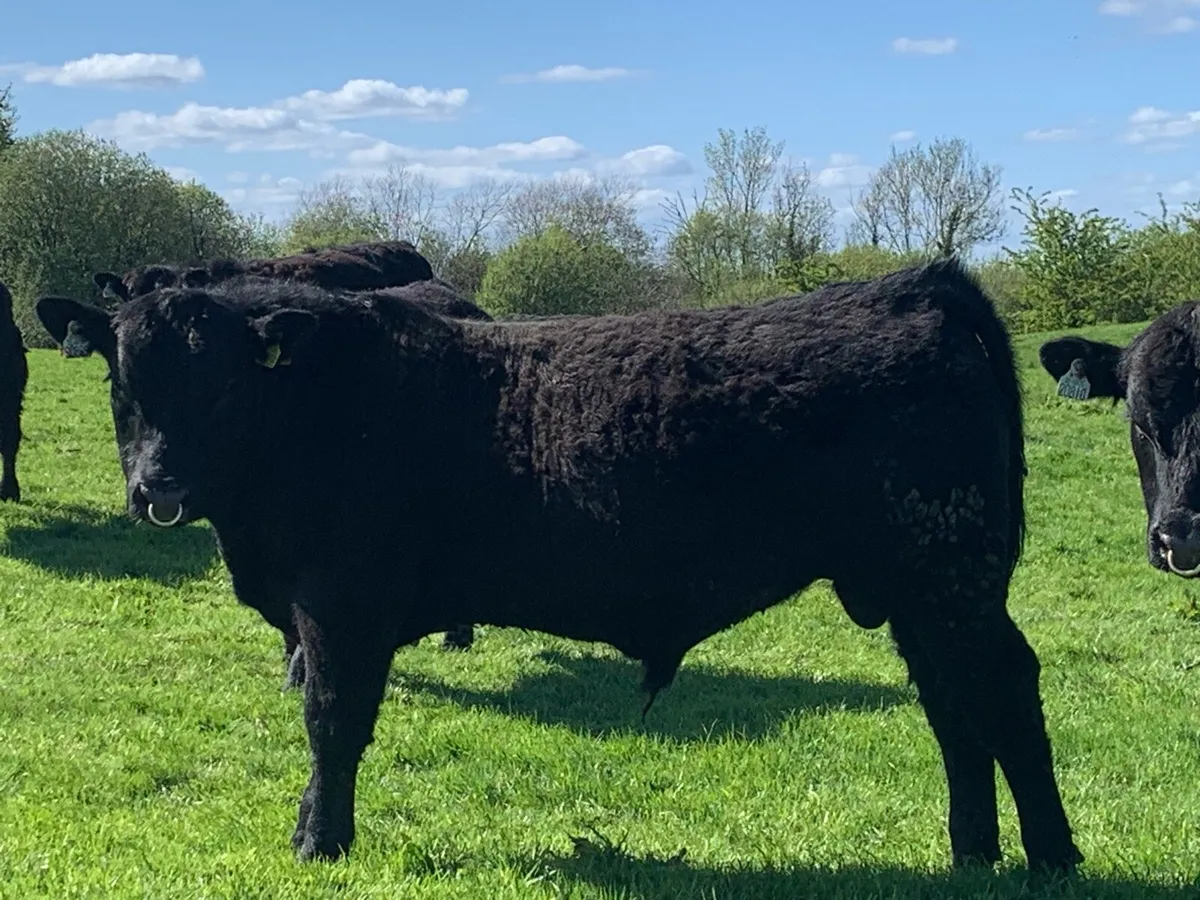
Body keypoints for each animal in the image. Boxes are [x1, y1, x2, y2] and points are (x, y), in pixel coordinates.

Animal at [32, 259, 1082, 872]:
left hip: (951, 578)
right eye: (123, 378)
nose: (155, 486)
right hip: (922, 591)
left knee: (1002, 694)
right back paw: (973, 853)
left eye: (216, 381)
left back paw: (1052, 856)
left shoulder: (340, 605)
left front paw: (320, 842)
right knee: (955, 710)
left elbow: (333, 725)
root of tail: (912, 287)